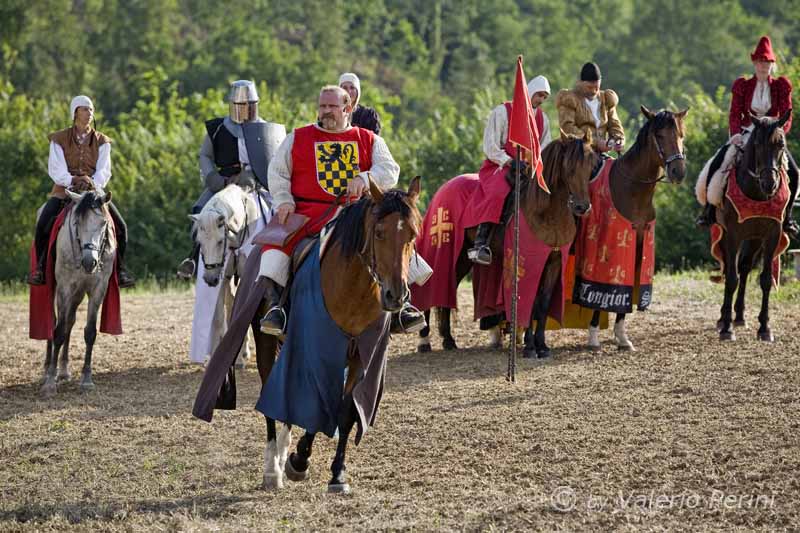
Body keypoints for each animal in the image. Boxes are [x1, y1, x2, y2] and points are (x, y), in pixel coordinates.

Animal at [188, 184, 266, 366]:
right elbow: (218, 318)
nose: (210, 279)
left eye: (219, 241)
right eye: (200, 242)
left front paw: (239, 359)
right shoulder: (222, 279)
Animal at [260, 177, 424, 492]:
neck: (354, 290)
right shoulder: (315, 350)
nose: (396, 296)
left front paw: (337, 473)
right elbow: (314, 402)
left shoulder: (362, 355)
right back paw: (273, 468)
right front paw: (299, 460)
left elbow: (346, 411)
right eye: (379, 233)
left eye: (412, 234)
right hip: (268, 341)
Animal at [418, 134, 592, 358]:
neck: (546, 212)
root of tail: (444, 187)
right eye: (569, 167)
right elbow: (528, 301)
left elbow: (543, 303)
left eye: (590, 166)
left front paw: (542, 346)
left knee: (448, 289)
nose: (582, 207)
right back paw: (424, 340)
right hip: (443, 248)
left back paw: (448, 340)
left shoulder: (553, 262)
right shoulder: (527, 264)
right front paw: (529, 347)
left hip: (463, 258)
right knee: (431, 288)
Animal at [580, 106, 688, 352]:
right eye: (660, 136)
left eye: (681, 135)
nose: (678, 172)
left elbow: (630, 284)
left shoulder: (638, 245)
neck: (632, 190)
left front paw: (622, 337)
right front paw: (593, 337)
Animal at [716, 110, 792, 340]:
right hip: (728, 235)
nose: (770, 184)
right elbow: (731, 278)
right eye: (757, 144)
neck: (757, 194)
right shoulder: (733, 234)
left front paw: (765, 328)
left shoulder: (772, 235)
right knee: (732, 270)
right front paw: (726, 328)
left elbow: (765, 279)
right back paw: (724, 318)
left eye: (781, 145)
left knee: (745, 267)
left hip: (754, 239)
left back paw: (740, 316)